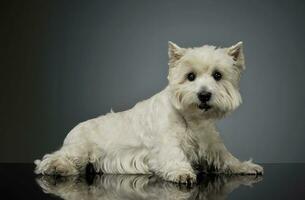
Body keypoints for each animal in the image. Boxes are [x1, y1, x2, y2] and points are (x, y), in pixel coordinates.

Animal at [34, 41, 262, 184]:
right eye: (190, 76)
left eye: (218, 75)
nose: (204, 95)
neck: (192, 119)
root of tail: (73, 129)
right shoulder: (166, 143)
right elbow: (174, 155)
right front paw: (182, 172)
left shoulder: (212, 144)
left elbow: (227, 158)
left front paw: (246, 166)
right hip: (80, 148)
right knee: (52, 158)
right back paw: (58, 167)